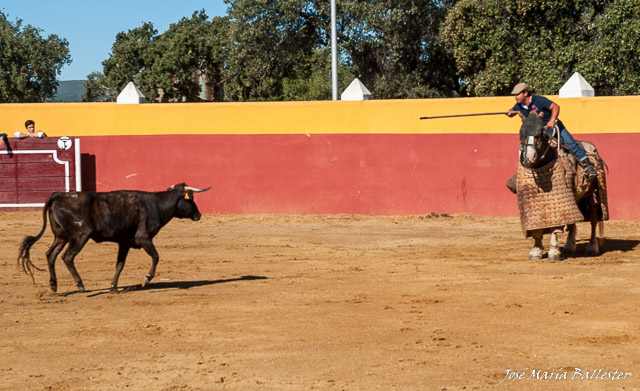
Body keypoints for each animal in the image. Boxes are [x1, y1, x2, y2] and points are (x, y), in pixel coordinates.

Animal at [18, 184, 210, 294]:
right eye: (190, 199)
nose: (198, 215)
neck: (155, 205)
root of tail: (58, 195)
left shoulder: (124, 243)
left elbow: (120, 265)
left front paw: (113, 287)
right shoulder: (144, 238)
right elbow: (156, 257)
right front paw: (147, 278)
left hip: (61, 236)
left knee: (50, 254)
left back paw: (54, 285)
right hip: (80, 236)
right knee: (67, 257)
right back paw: (80, 286)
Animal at [510, 112, 608, 260]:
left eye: (540, 134)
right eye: (522, 134)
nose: (530, 155)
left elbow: (556, 228)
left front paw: (554, 251)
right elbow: (537, 230)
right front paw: (536, 250)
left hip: (592, 194)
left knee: (593, 218)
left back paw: (592, 247)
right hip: (575, 197)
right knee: (573, 222)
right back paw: (569, 246)